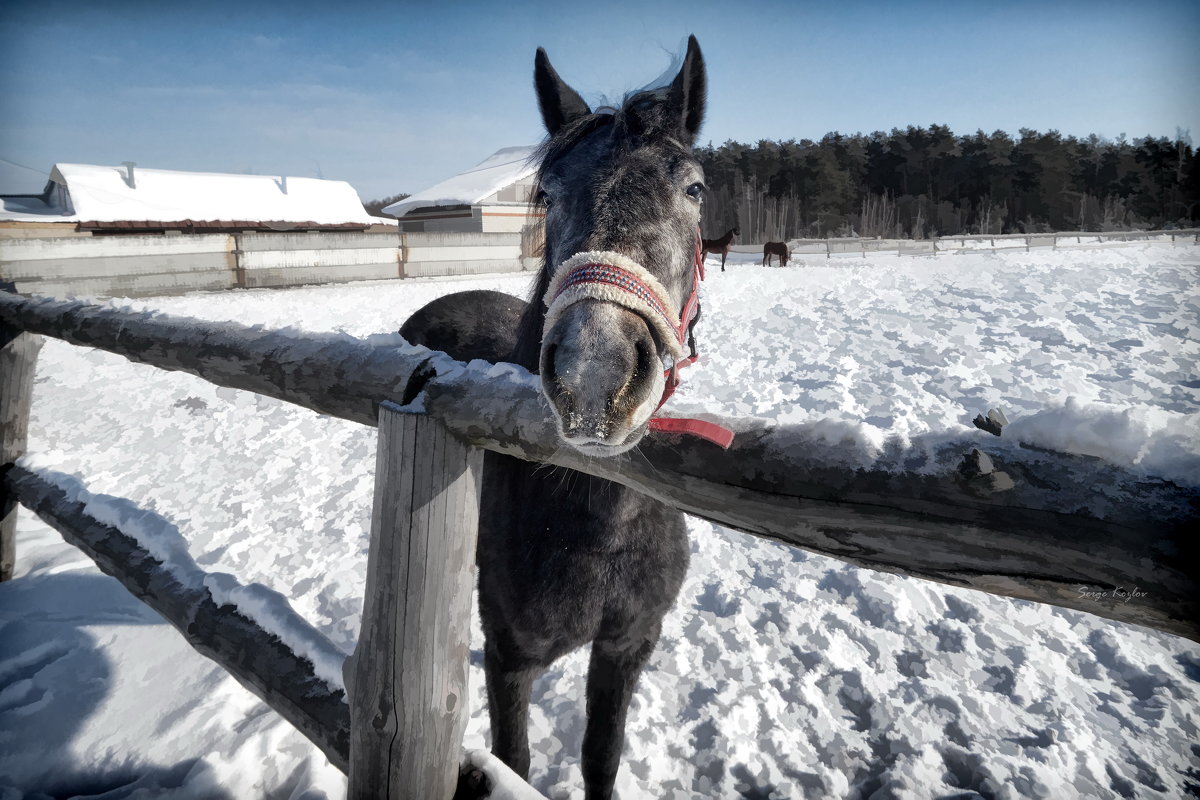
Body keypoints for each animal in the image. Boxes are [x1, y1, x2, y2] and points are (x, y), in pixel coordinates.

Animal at [400, 35, 710, 800]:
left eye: (694, 189)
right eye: (549, 193)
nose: (595, 372)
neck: (597, 526)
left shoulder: (627, 645)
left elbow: (601, 757)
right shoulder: (513, 657)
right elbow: (514, 761)